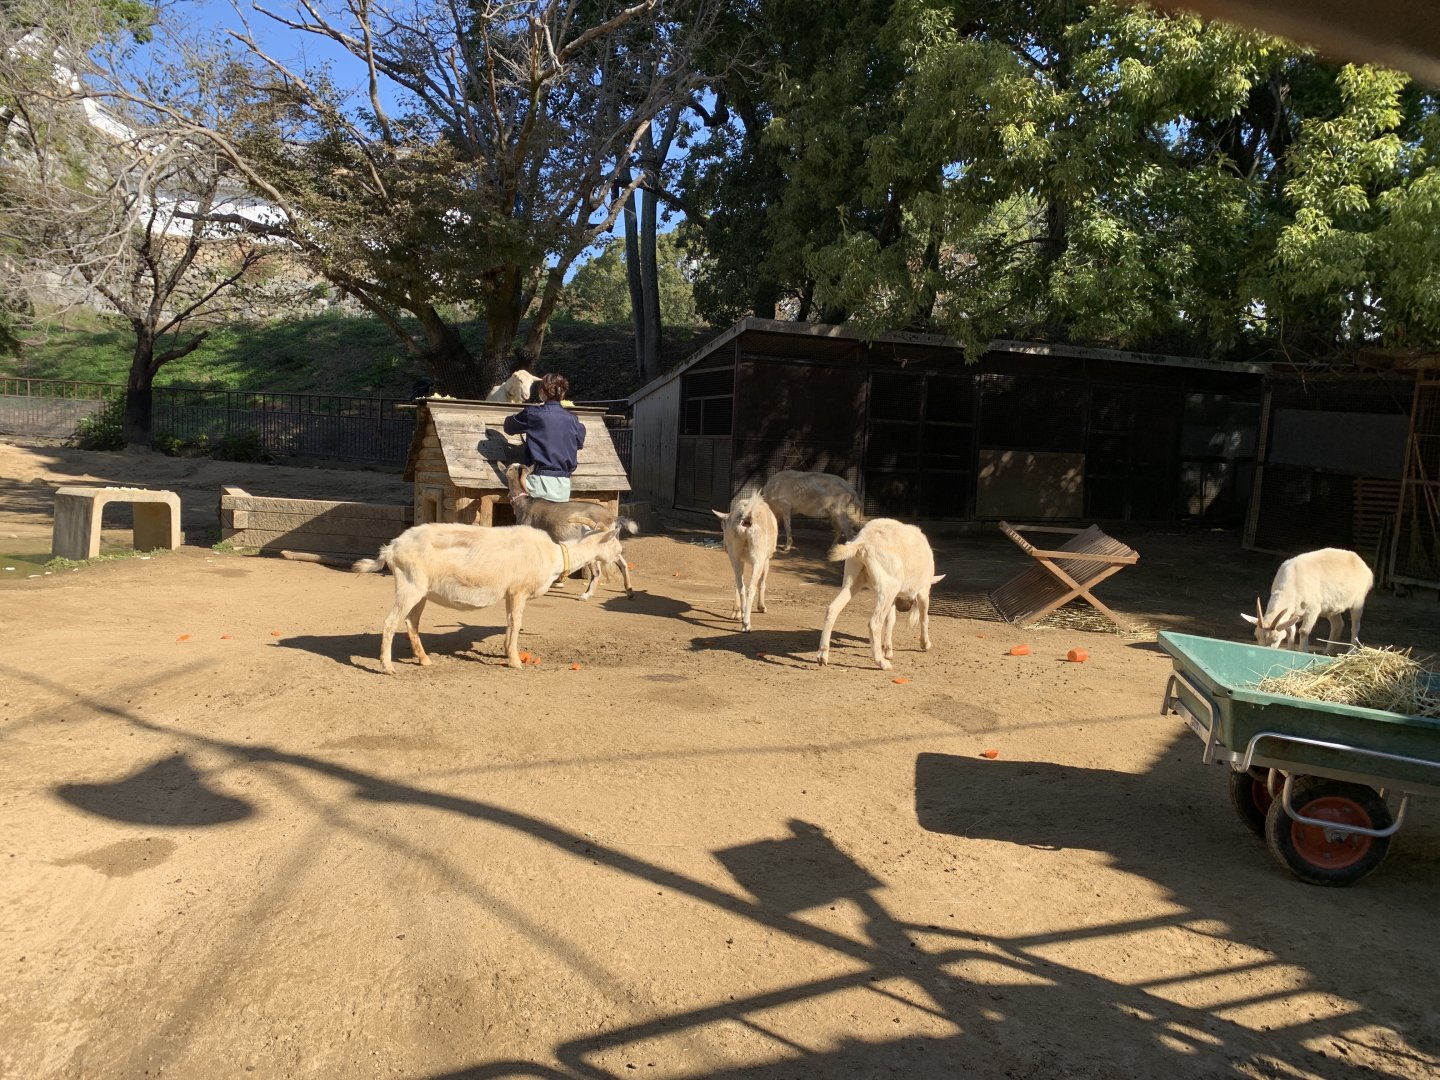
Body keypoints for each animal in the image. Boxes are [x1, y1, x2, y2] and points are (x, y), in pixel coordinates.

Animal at [353, 522, 622, 673]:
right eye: (615, 544)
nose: (621, 557)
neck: (555, 557)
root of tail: (391, 549)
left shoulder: (510, 593)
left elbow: (510, 623)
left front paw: (506, 652)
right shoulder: (519, 590)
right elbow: (516, 623)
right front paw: (516, 661)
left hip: (420, 591)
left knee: (411, 622)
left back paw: (425, 660)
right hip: (409, 585)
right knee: (391, 622)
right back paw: (388, 667)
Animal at [504, 462, 636, 600]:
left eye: (511, 468)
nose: (506, 466)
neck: (525, 503)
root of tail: (612, 517)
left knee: (597, 572)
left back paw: (586, 595)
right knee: (622, 563)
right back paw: (629, 591)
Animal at [712, 490, 779, 631]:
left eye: (723, 526)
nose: (724, 546)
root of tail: (747, 516)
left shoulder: (739, 559)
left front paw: (736, 613)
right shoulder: (766, 559)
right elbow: (762, 582)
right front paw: (762, 607)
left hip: (735, 555)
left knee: (740, 584)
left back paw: (742, 615)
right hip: (758, 557)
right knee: (751, 587)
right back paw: (747, 624)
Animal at [817, 518, 945, 670]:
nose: (904, 607)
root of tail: (863, 542)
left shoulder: (894, 598)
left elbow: (891, 620)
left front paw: (888, 650)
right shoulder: (923, 590)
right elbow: (924, 618)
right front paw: (925, 644)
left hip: (853, 582)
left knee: (832, 609)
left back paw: (822, 656)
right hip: (889, 587)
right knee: (875, 623)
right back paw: (882, 663)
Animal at [1241, 547, 1374, 653]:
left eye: (1275, 639)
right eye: (1256, 636)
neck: (1293, 582)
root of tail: (1363, 566)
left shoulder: (1313, 609)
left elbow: (1304, 631)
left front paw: (1303, 651)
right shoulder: (1292, 613)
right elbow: (1290, 630)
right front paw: (1290, 649)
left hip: (1358, 601)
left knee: (1355, 626)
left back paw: (1350, 652)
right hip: (1332, 606)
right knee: (1338, 625)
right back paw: (1327, 651)